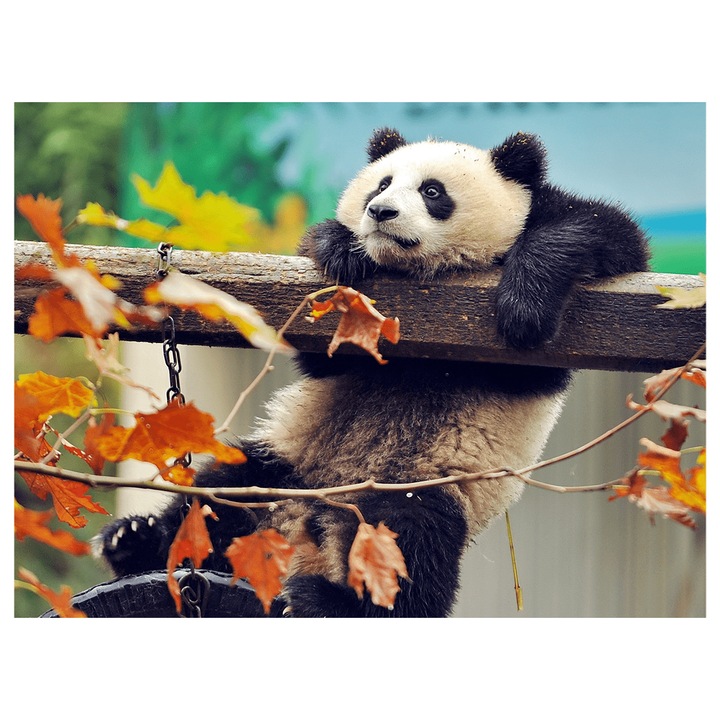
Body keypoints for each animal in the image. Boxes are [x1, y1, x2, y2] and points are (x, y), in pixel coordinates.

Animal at [95, 127, 649, 617]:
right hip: (289, 461)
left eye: (432, 191)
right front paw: (341, 248)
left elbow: (602, 235)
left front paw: (525, 304)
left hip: (425, 484)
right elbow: (324, 353)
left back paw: (325, 602)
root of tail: (310, 524)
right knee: (224, 490)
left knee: (412, 546)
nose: (380, 212)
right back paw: (136, 540)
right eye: (380, 184)